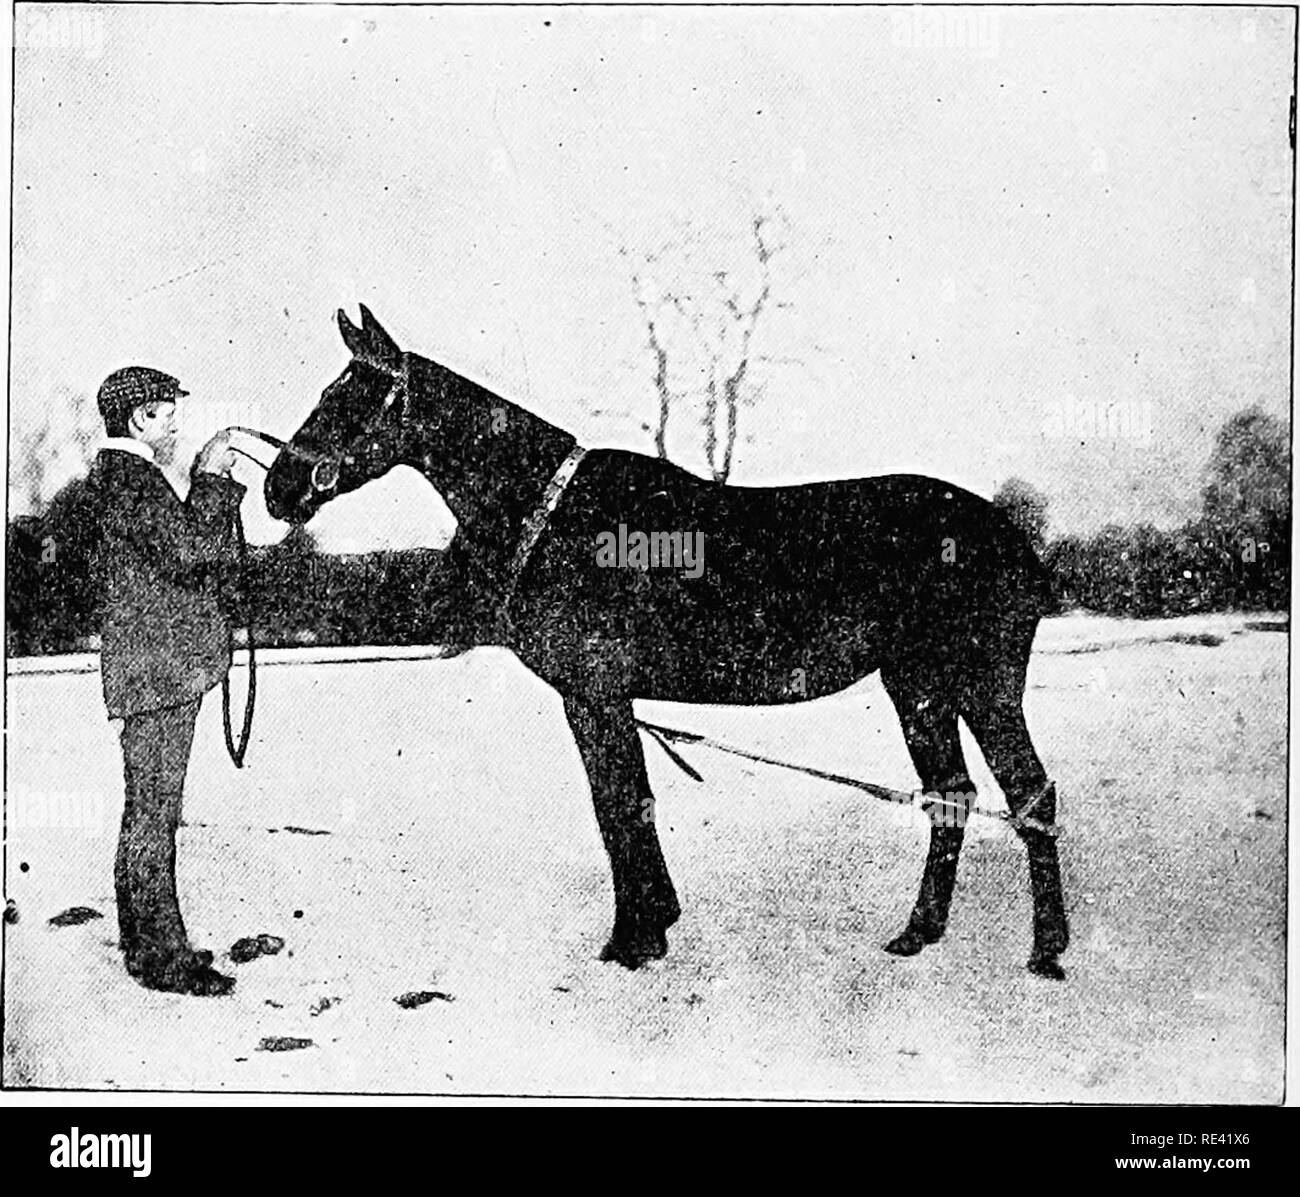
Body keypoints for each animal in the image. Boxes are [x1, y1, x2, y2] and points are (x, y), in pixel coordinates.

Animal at [263, 305, 1069, 978]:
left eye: (347, 396)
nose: (277, 488)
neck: (551, 513)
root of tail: (1013, 539)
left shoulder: (594, 694)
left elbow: (620, 804)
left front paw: (635, 937)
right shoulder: (603, 698)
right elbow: (625, 801)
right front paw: (655, 922)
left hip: (980, 686)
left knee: (1029, 791)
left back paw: (1047, 950)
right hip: (918, 686)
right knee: (952, 795)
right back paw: (919, 932)